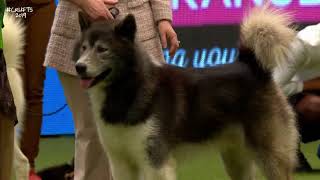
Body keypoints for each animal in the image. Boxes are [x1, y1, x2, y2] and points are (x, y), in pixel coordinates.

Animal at [74, 5, 298, 180]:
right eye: (84, 48)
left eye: (102, 49)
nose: (79, 67)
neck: (130, 87)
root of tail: (252, 66)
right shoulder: (120, 162)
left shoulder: (155, 162)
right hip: (236, 158)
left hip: (270, 156)